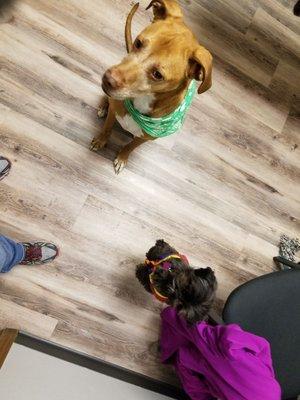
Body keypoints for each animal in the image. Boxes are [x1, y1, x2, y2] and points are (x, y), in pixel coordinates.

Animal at [90, 0, 212, 173]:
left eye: (158, 75)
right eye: (138, 43)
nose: (108, 79)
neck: (140, 103)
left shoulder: (145, 138)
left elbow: (131, 146)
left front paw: (122, 157)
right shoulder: (113, 114)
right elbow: (107, 128)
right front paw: (100, 140)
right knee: (107, 100)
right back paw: (103, 107)